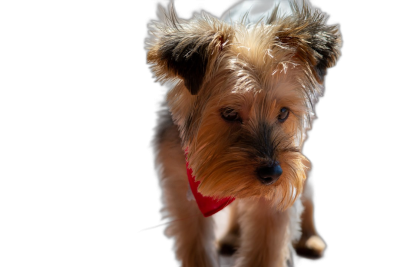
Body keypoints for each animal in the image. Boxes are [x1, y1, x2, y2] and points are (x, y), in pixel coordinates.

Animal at [145, 0, 342, 266]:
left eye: (283, 113)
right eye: (229, 113)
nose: (272, 173)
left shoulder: (277, 191)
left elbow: (265, 246)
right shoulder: (179, 183)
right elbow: (194, 241)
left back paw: (309, 238)